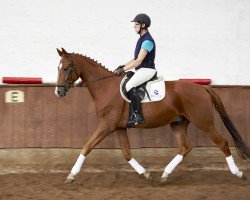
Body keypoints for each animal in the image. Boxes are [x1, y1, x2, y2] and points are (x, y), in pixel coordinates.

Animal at [54, 48, 248, 183]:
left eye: (66, 68)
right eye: (58, 68)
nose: (58, 92)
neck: (105, 87)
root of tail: (202, 88)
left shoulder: (106, 125)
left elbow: (87, 146)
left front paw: (71, 175)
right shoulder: (118, 128)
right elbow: (126, 154)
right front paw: (145, 173)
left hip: (204, 122)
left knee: (222, 143)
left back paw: (238, 173)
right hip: (178, 123)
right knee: (185, 147)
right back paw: (165, 174)